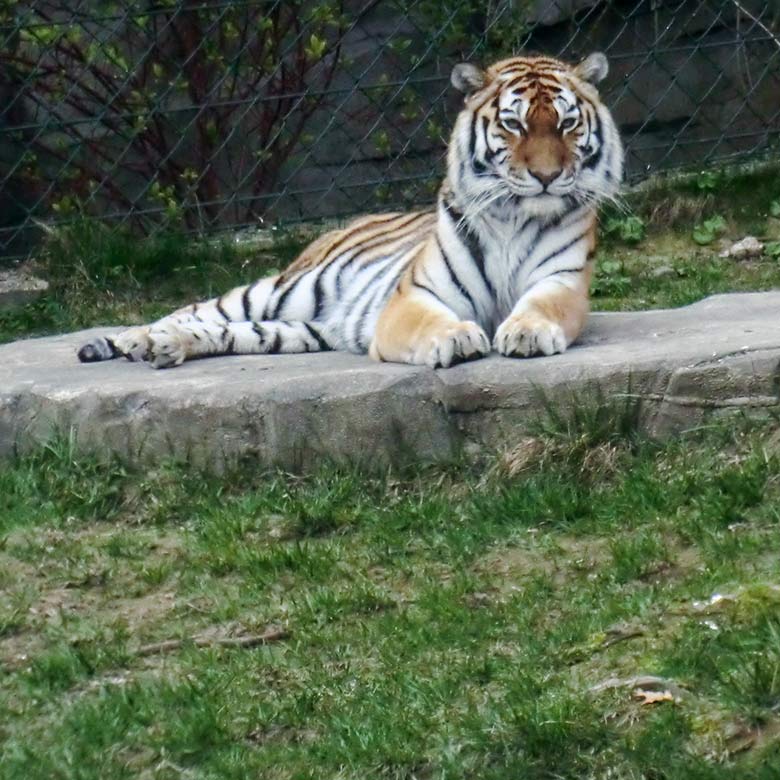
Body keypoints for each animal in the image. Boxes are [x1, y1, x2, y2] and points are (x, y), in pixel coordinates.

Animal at [79, 53, 624, 370]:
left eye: (568, 124)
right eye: (513, 124)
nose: (547, 176)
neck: (514, 216)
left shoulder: (561, 282)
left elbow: (542, 306)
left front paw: (527, 332)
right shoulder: (413, 297)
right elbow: (433, 322)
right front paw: (457, 338)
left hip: (295, 330)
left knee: (227, 331)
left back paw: (168, 347)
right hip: (283, 289)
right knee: (196, 309)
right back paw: (138, 339)